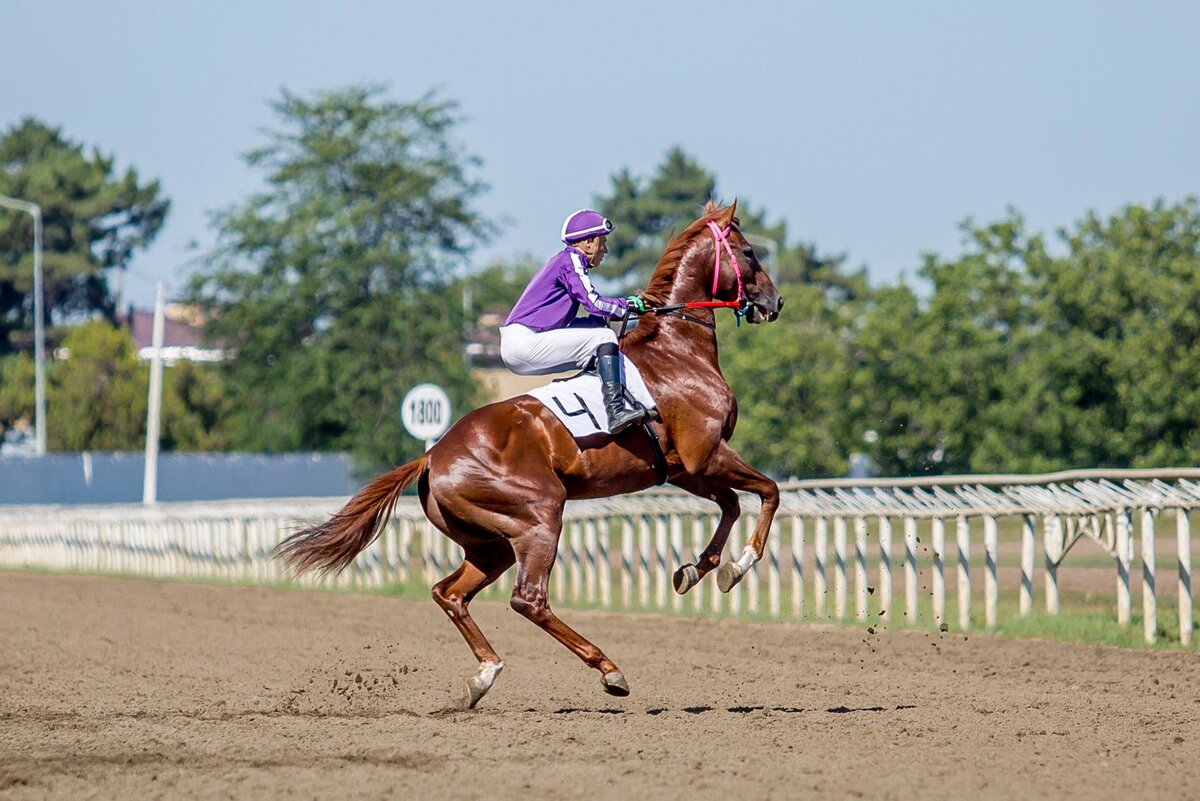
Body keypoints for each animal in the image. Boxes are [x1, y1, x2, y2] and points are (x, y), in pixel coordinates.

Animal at [280, 201, 787, 705]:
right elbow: (769, 491)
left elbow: (732, 504)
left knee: (449, 593)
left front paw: (699, 570)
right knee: (528, 598)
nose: (775, 303)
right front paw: (739, 565)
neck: (677, 352)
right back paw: (609, 670)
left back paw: (484, 675)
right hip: (540, 516)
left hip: (491, 543)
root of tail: (434, 455)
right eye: (749, 252)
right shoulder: (707, 454)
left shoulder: (683, 469)